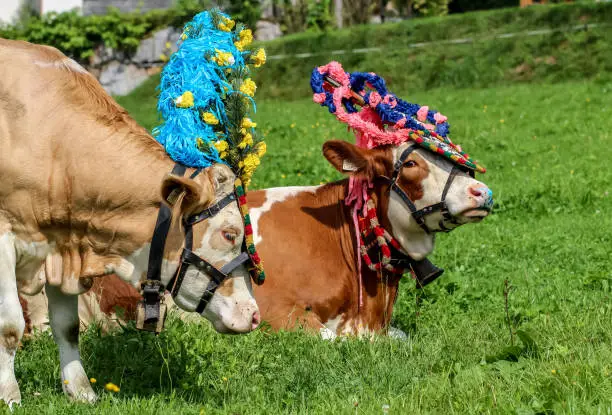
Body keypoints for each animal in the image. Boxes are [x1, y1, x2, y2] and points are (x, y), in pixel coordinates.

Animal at [0, 39, 260, 406]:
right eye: (229, 234)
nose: (254, 314)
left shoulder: (62, 245)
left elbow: (68, 327)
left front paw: (81, 392)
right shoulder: (5, 238)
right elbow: (9, 327)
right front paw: (9, 396)